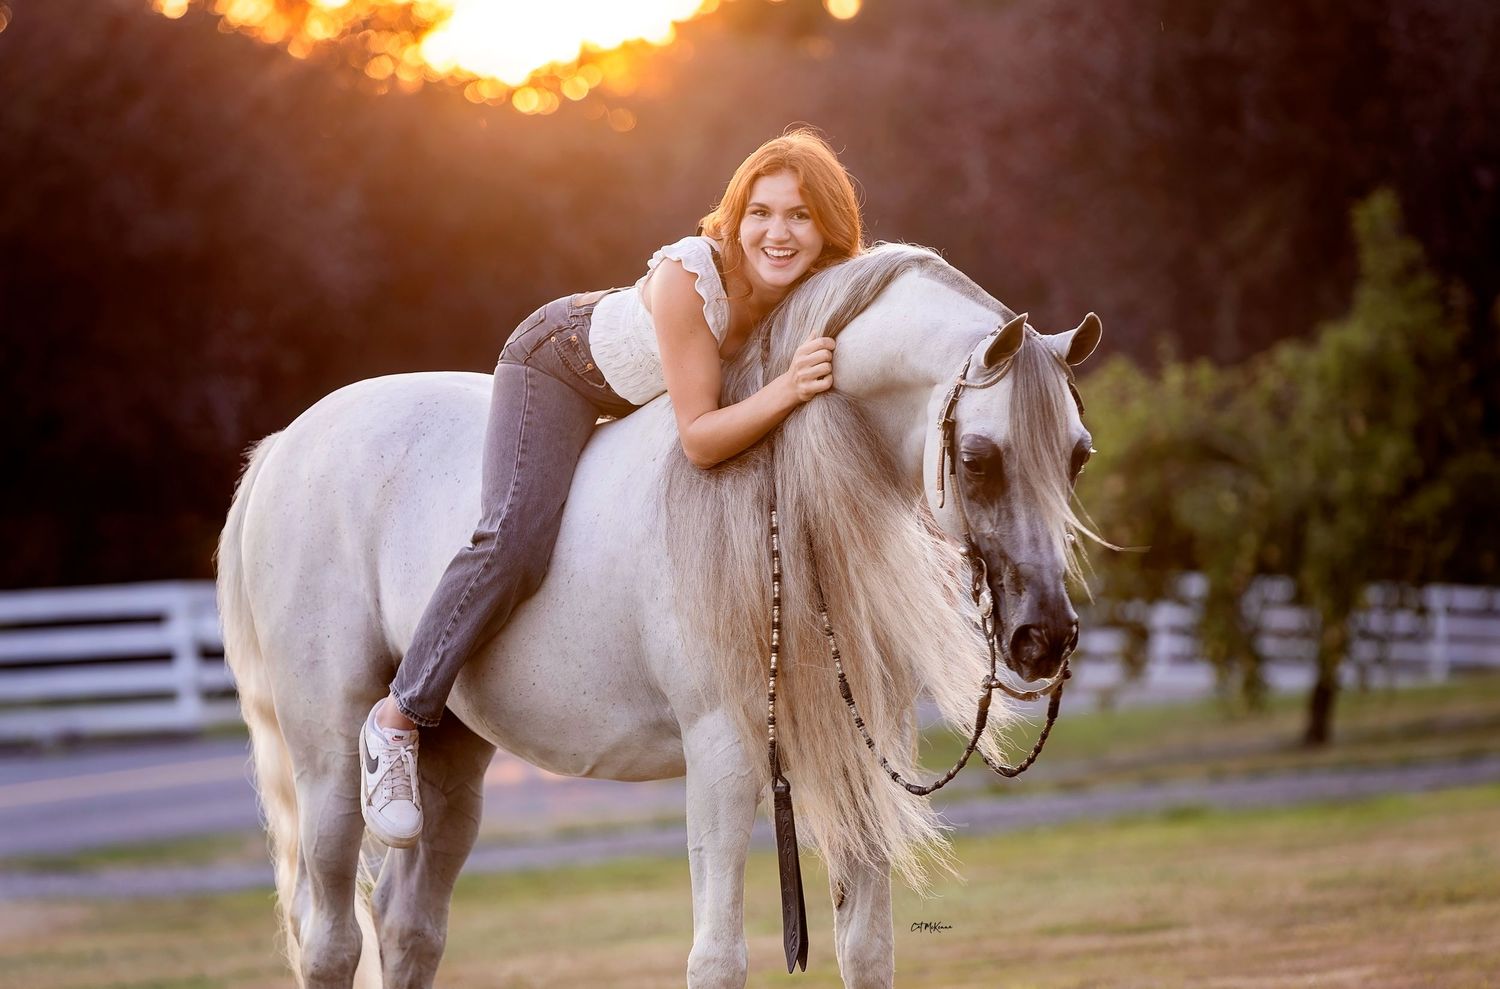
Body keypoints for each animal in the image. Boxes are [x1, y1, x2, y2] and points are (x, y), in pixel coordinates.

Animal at [215, 242, 1102, 988]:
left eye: (1078, 453)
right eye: (979, 457)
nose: (1043, 637)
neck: (784, 504)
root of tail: (286, 443)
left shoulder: (860, 750)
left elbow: (867, 948)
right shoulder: (722, 756)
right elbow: (718, 960)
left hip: (454, 755)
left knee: (410, 928)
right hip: (329, 754)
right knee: (332, 937)